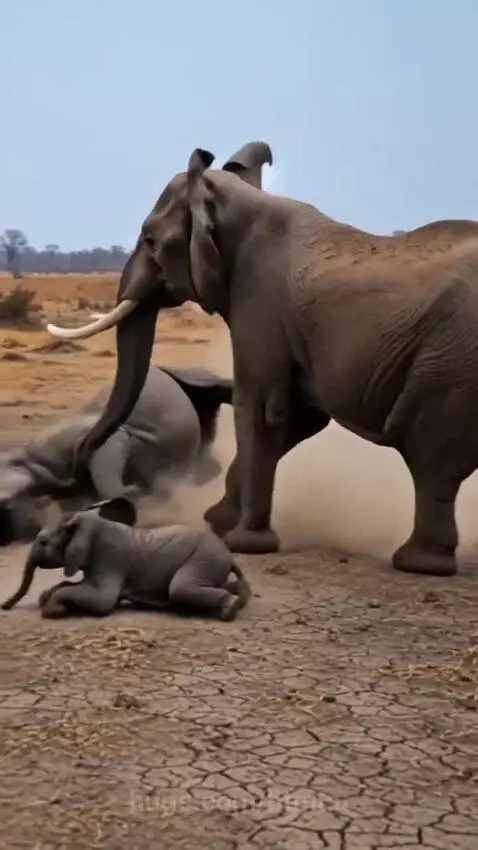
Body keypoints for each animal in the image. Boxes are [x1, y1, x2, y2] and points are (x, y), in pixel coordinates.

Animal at [1, 496, 251, 620]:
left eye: (43, 543)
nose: (5, 606)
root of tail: (229, 556)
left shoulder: (109, 557)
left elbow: (102, 600)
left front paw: (53, 610)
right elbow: (73, 585)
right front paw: (49, 599)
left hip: (203, 558)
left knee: (181, 588)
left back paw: (230, 610)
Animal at [44, 140, 478, 578]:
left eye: (150, 240)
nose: (77, 476)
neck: (240, 204)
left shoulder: (259, 304)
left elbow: (262, 409)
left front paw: (243, 543)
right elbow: (299, 417)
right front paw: (217, 520)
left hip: (451, 363)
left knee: (430, 456)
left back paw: (418, 563)